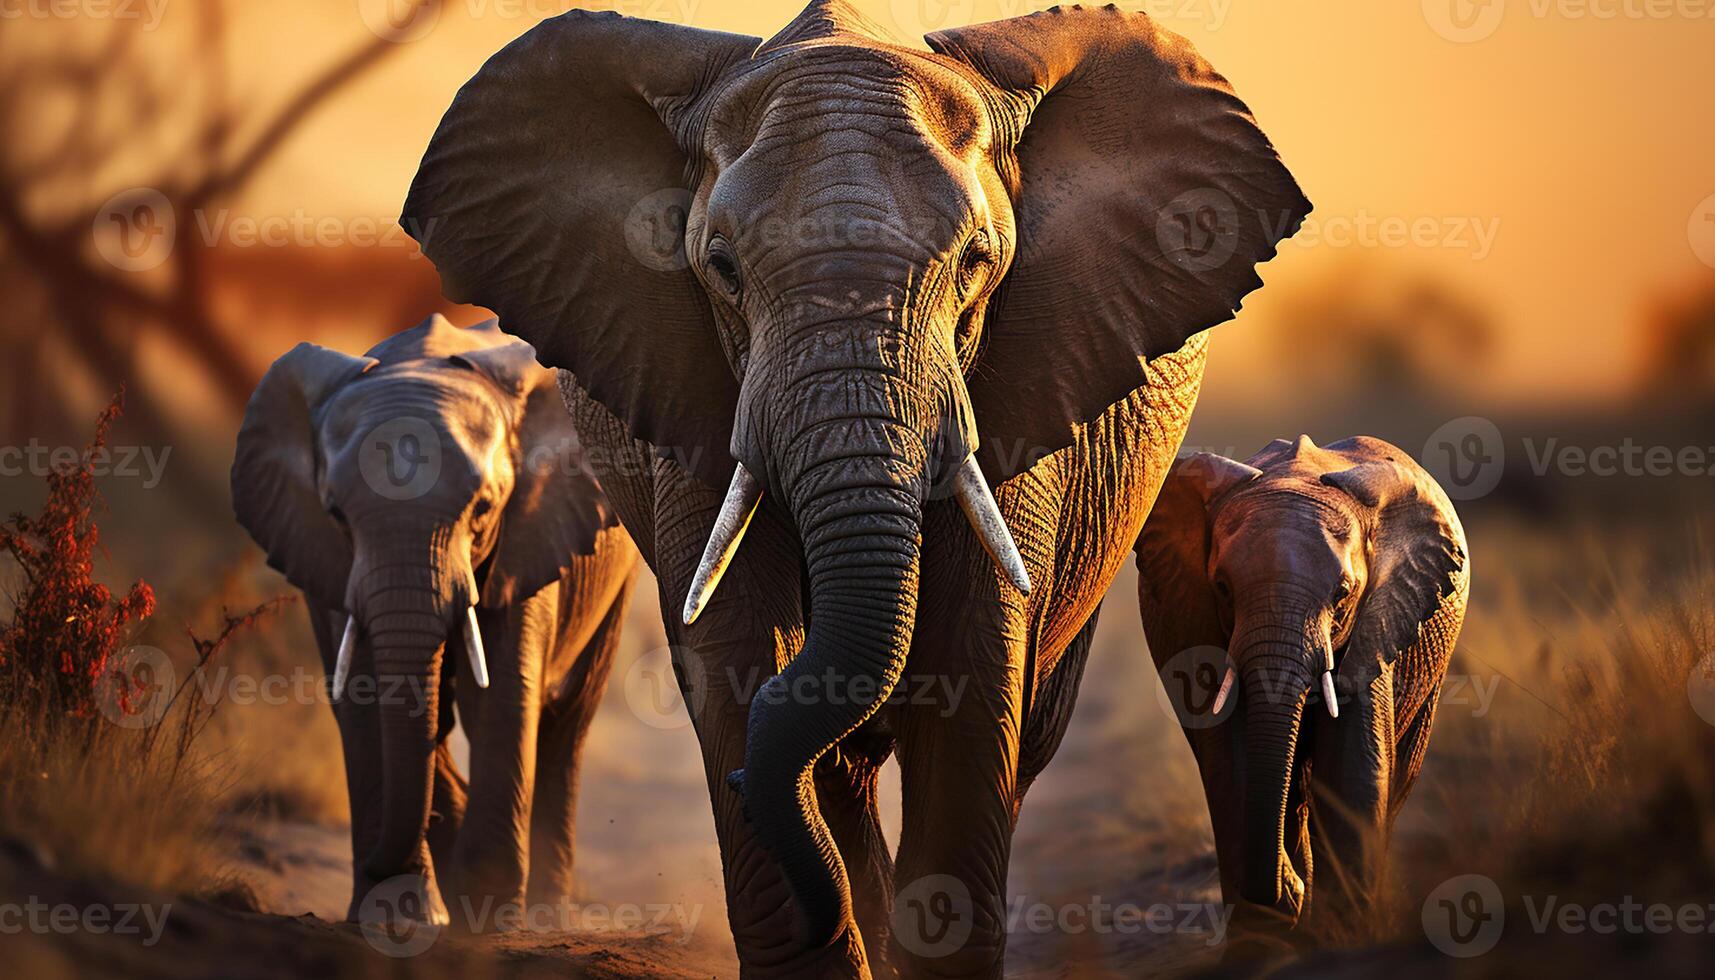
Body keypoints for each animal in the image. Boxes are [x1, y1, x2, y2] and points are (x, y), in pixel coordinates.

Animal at [231, 317, 641, 933]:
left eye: (484, 508)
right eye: (335, 513)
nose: (374, 864)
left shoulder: (529, 536)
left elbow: (500, 692)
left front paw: (489, 914)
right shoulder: (326, 560)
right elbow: (364, 695)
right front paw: (397, 917)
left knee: (568, 720)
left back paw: (545, 912)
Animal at [404, 3, 1310, 974]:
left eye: (976, 261)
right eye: (720, 265)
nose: (739, 781)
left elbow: (972, 668)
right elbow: (739, 651)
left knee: (1020, 734)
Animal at [1131, 437, 1468, 954]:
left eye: (1343, 594)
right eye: (1222, 588)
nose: (1286, 886)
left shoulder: (1379, 619)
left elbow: (1355, 765)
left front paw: (1343, 935)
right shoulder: (1196, 616)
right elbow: (1231, 761)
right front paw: (1267, 935)